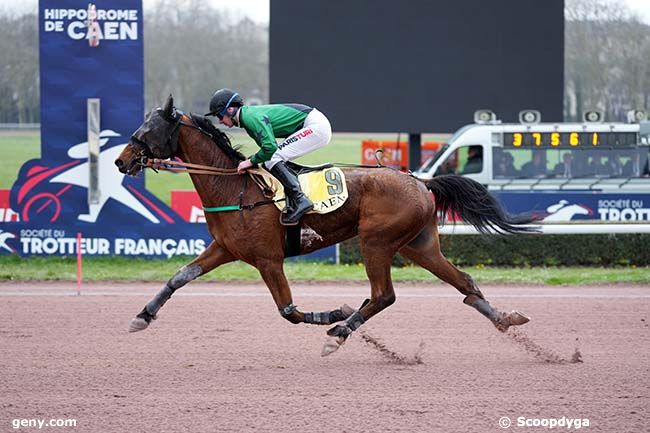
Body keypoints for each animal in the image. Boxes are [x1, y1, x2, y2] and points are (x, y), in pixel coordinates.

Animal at [114, 96, 536, 356]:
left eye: (149, 129)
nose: (121, 160)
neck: (234, 186)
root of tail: (420, 180)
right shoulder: (225, 250)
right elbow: (180, 276)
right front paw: (142, 316)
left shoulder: (268, 259)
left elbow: (289, 311)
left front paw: (334, 314)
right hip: (419, 245)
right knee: (463, 281)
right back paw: (505, 319)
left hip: (376, 242)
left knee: (383, 296)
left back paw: (340, 332)